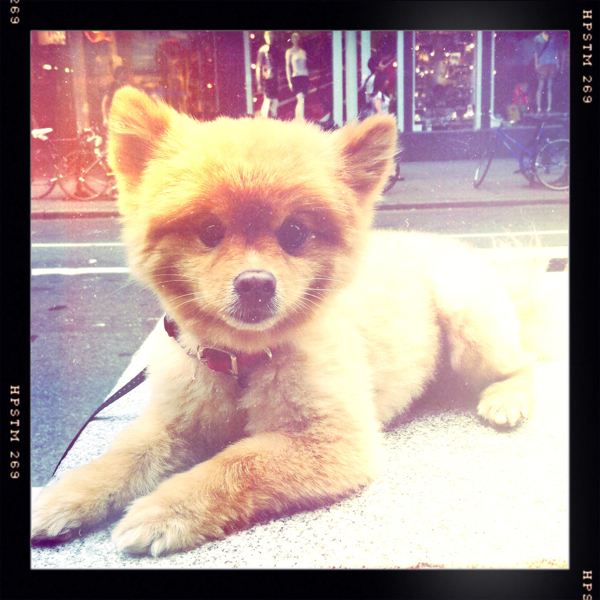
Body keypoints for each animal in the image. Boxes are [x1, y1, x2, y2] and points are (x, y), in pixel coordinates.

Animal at [32, 86, 561, 556]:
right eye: (209, 231)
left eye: (294, 233)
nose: (255, 283)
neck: (240, 361)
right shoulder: (174, 424)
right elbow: (121, 456)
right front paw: (59, 499)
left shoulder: (334, 443)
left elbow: (239, 463)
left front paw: (166, 510)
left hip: (467, 314)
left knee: (525, 361)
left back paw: (505, 399)